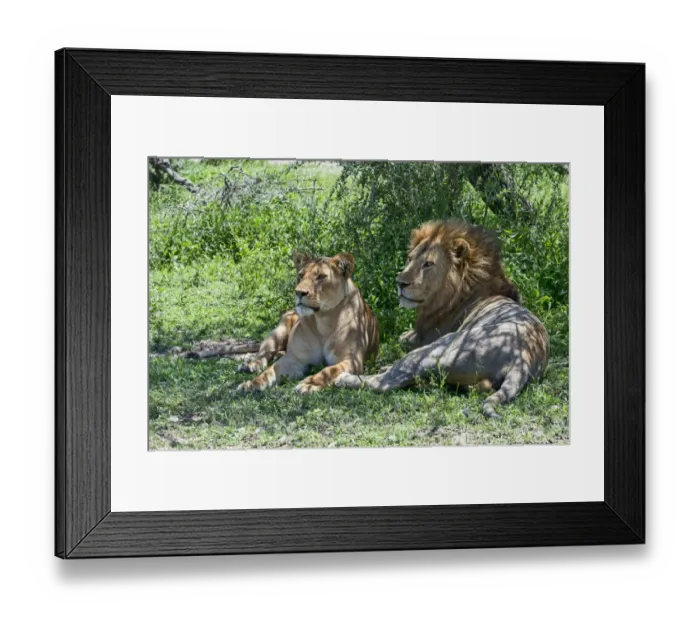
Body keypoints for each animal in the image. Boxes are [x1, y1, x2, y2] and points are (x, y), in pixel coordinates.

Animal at [236, 251, 380, 395]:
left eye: (321, 276)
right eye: (301, 275)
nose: (299, 292)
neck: (324, 321)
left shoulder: (352, 360)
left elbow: (329, 371)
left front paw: (309, 384)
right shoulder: (294, 359)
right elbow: (269, 371)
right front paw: (251, 384)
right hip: (277, 333)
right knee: (264, 353)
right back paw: (250, 365)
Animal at [335, 220, 549, 418]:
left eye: (428, 264)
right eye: (409, 259)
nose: (400, 283)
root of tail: (522, 360)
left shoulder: (427, 335)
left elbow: (403, 339)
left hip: (441, 348)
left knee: (386, 381)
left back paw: (344, 378)